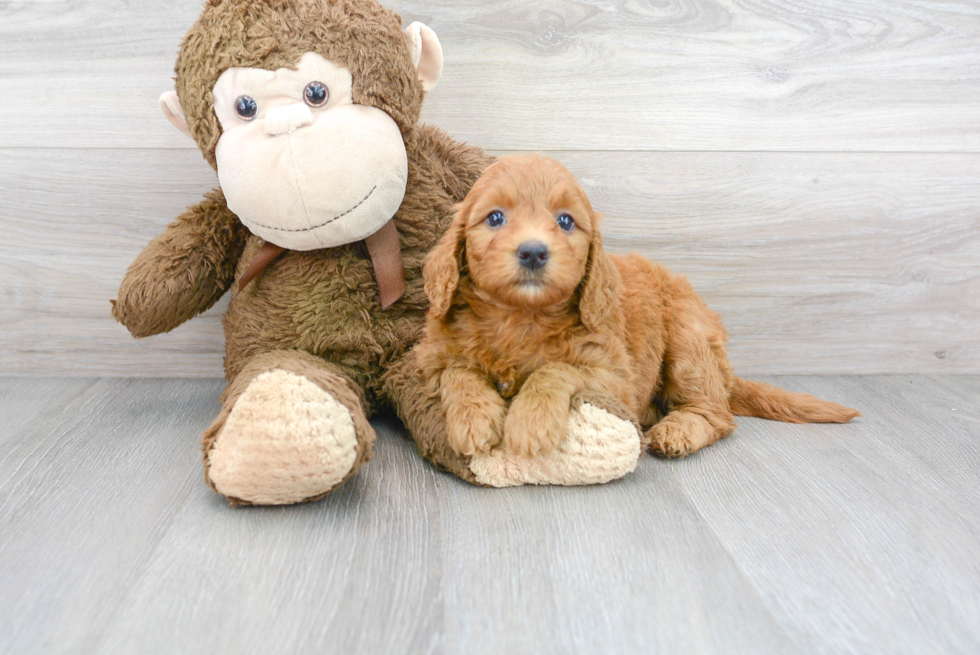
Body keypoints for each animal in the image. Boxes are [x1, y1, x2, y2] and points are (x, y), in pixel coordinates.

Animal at [420, 154, 856, 462]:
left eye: (565, 221)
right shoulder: (431, 357)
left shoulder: (616, 377)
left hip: (689, 339)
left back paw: (677, 431)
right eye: (495, 217)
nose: (532, 252)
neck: (520, 316)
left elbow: (554, 369)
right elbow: (458, 371)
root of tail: (727, 375)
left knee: (718, 414)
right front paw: (474, 418)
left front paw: (531, 422)